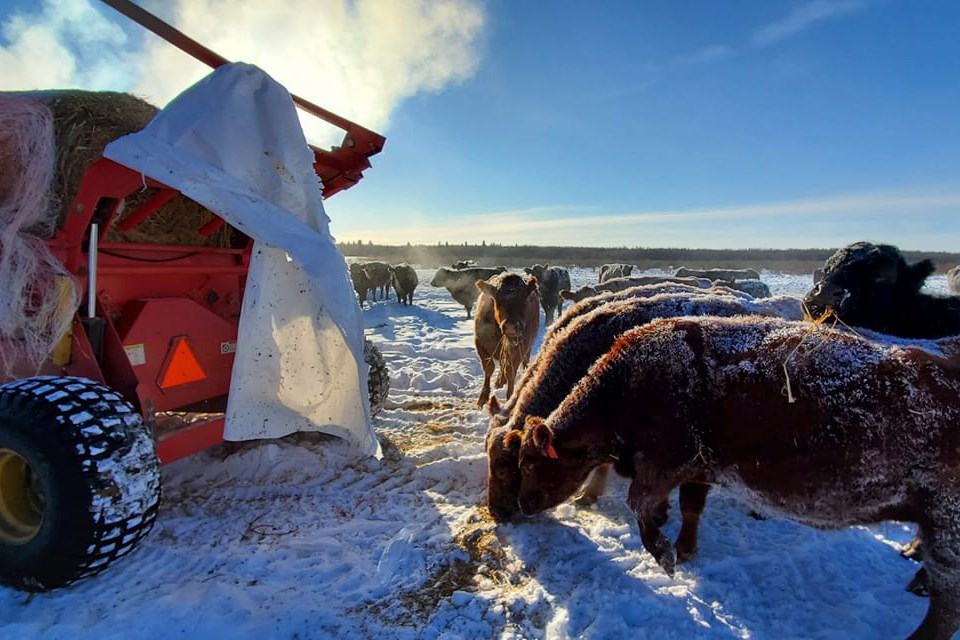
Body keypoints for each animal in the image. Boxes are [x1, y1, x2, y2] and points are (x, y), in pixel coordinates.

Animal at [472, 272, 540, 408]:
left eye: (524, 300)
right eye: (498, 301)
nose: (511, 327)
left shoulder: (520, 347)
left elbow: (510, 372)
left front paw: (509, 397)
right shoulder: (480, 342)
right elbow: (489, 368)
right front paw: (483, 398)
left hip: (527, 346)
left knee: (523, 361)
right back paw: (499, 381)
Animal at [512, 316, 960, 640]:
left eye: (530, 464)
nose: (522, 505)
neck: (628, 384)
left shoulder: (666, 463)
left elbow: (640, 503)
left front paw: (666, 555)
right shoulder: (699, 469)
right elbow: (689, 508)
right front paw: (684, 548)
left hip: (947, 527)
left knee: (946, 606)